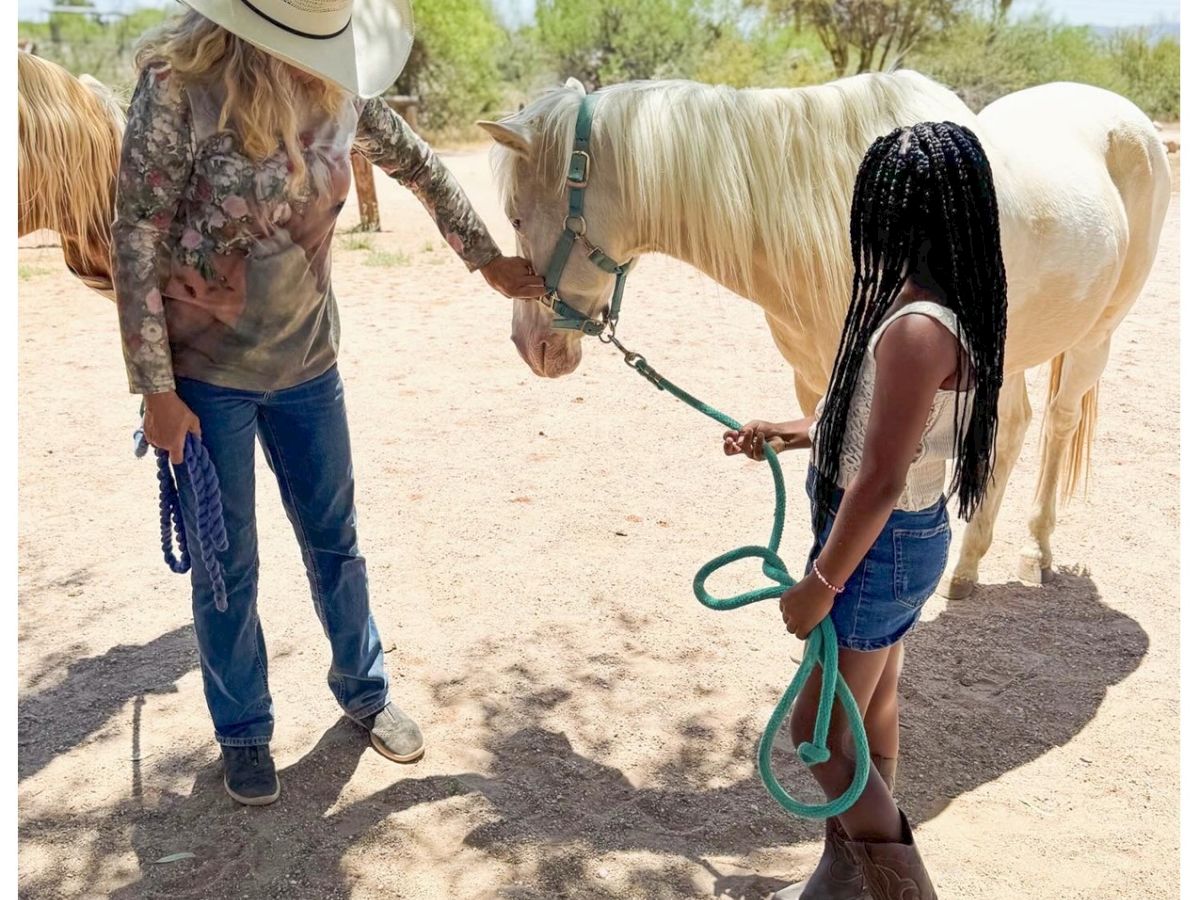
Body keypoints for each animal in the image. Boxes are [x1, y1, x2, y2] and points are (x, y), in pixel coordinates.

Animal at [480, 72, 1171, 600]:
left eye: (515, 216)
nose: (528, 346)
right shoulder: (816, 379)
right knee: (1016, 426)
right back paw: (969, 566)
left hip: (1096, 336)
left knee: (1058, 423)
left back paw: (1035, 551)